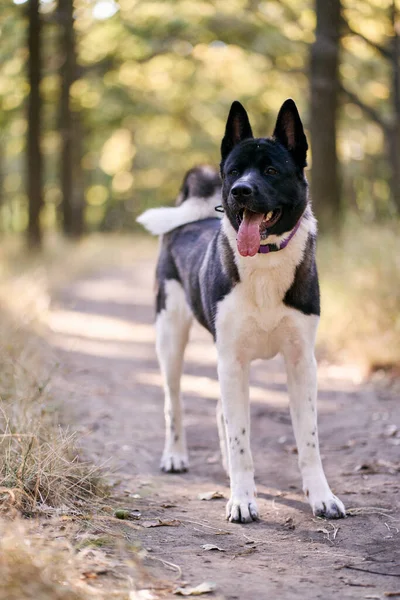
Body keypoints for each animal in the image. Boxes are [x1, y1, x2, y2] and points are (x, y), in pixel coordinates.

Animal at [137, 98, 344, 520]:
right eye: (233, 171)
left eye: (271, 170)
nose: (240, 190)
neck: (264, 260)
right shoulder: (232, 360)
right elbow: (240, 438)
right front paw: (243, 499)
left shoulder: (301, 362)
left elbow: (308, 439)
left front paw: (321, 496)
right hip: (171, 339)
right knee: (174, 402)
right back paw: (175, 456)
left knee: (219, 410)